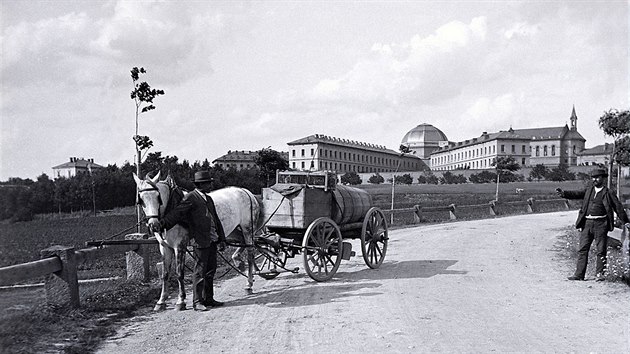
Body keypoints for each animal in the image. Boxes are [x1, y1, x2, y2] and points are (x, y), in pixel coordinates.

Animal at [135, 173, 260, 312]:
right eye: (141, 199)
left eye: (158, 197)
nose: (154, 225)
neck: (172, 209)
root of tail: (246, 192)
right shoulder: (164, 247)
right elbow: (165, 274)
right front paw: (161, 301)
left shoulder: (179, 246)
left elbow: (179, 273)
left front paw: (181, 301)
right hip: (233, 230)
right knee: (242, 243)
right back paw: (239, 262)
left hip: (247, 229)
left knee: (250, 253)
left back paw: (249, 283)